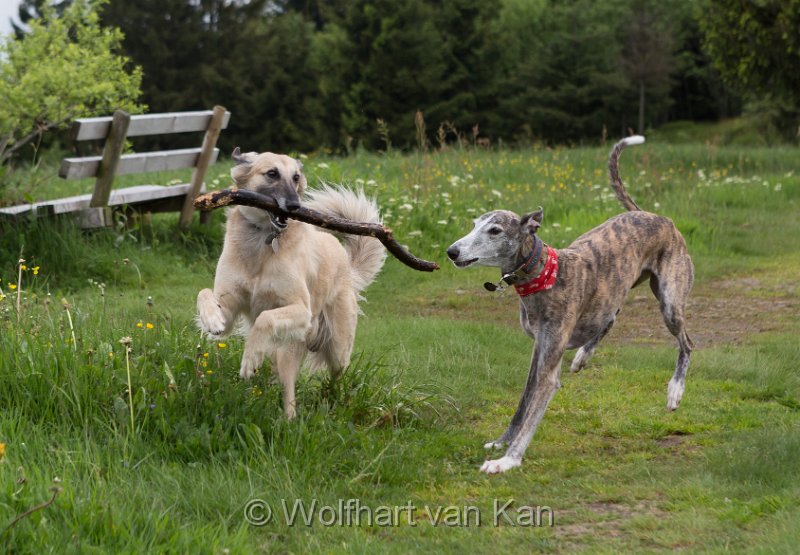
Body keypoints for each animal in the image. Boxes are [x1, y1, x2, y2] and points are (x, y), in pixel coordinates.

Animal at [444, 137, 692, 476]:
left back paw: (675, 391)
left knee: (686, 342)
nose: (451, 251)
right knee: (611, 317)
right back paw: (583, 356)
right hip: (615, 292)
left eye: (494, 230)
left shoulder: (549, 363)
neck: (543, 274)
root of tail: (655, 216)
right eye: (473, 225)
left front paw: (508, 459)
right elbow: (523, 403)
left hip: (670, 302)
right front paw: (501, 442)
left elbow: (534, 410)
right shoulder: (540, 348)